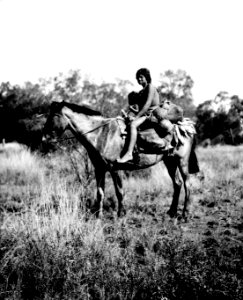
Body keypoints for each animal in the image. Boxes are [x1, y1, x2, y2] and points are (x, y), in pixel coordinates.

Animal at [42, 100, 199, 218]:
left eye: (54, 115)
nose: (44, 138)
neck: (101, 133)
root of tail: (184, 126)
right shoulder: (99, 169)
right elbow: (100, 193)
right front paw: (98, 216)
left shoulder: (115, 169)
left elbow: (119, 192)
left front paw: (121, 214)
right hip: (170, 161)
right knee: (177, 183)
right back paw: (171, 212)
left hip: (182, 162)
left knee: (187, 185)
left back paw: (184, 214)